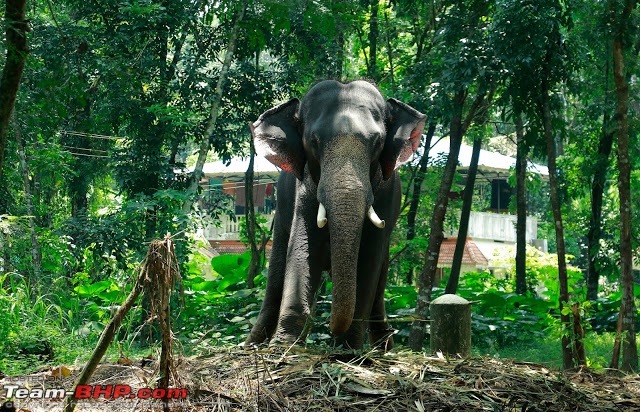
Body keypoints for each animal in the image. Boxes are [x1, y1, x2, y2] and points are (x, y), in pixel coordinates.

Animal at [245, 80, 424, 350]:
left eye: (377, 142)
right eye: (314, 141)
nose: (329, 328)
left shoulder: (386, 193)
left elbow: (369, 258)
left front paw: (347, 350)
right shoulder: (304, 190)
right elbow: (303, 248)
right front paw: (283, 346)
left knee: (380, 279)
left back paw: (384, 348)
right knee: (277, 268)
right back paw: (252, 345)